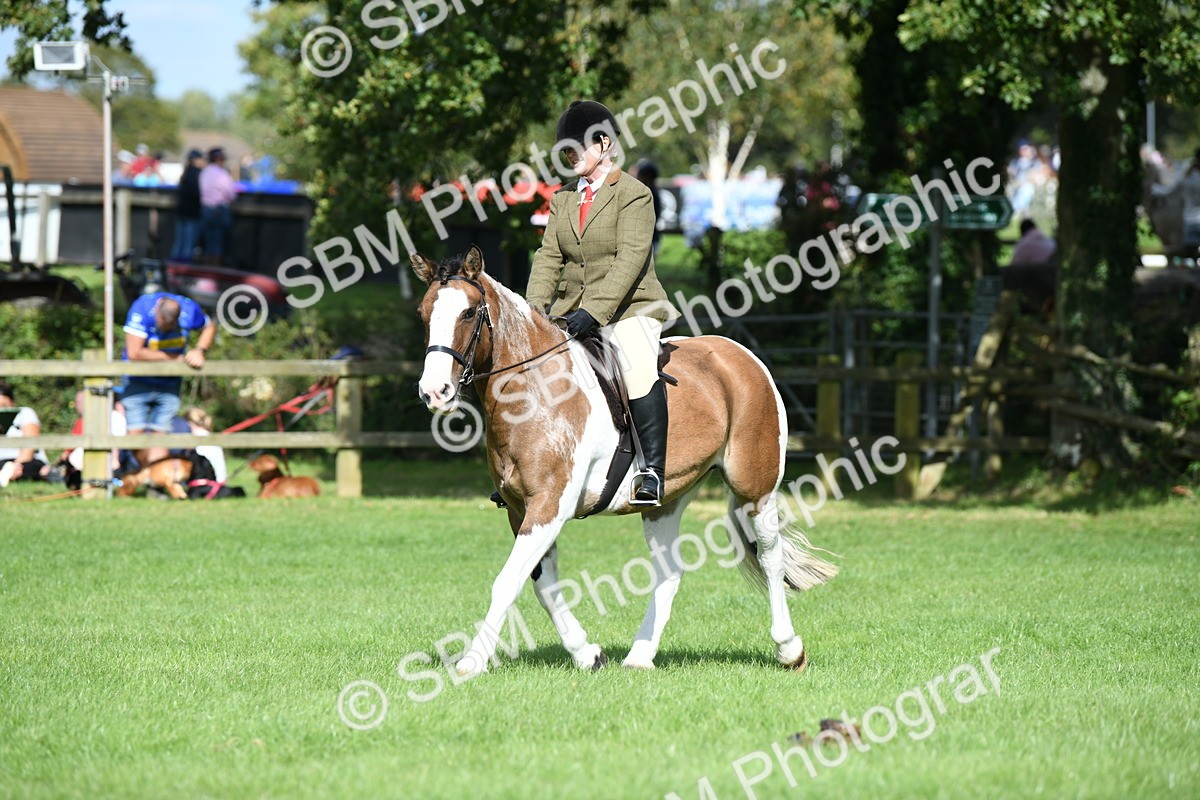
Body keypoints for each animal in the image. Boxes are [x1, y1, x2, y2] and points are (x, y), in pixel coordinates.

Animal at [411, 245, 837, 677]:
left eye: (468, 313)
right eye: (424, 313)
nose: (435, 392)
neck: (534, 392)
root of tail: (737, 354)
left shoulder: (549, 505)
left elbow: (507, 582)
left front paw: (471, 662)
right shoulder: (521, 511)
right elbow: (544, 586)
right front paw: (587, 653)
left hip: (755, 487)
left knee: (771, 556)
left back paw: (789, 649)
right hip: (665, 502)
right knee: (669, 571)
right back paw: (640, 656)